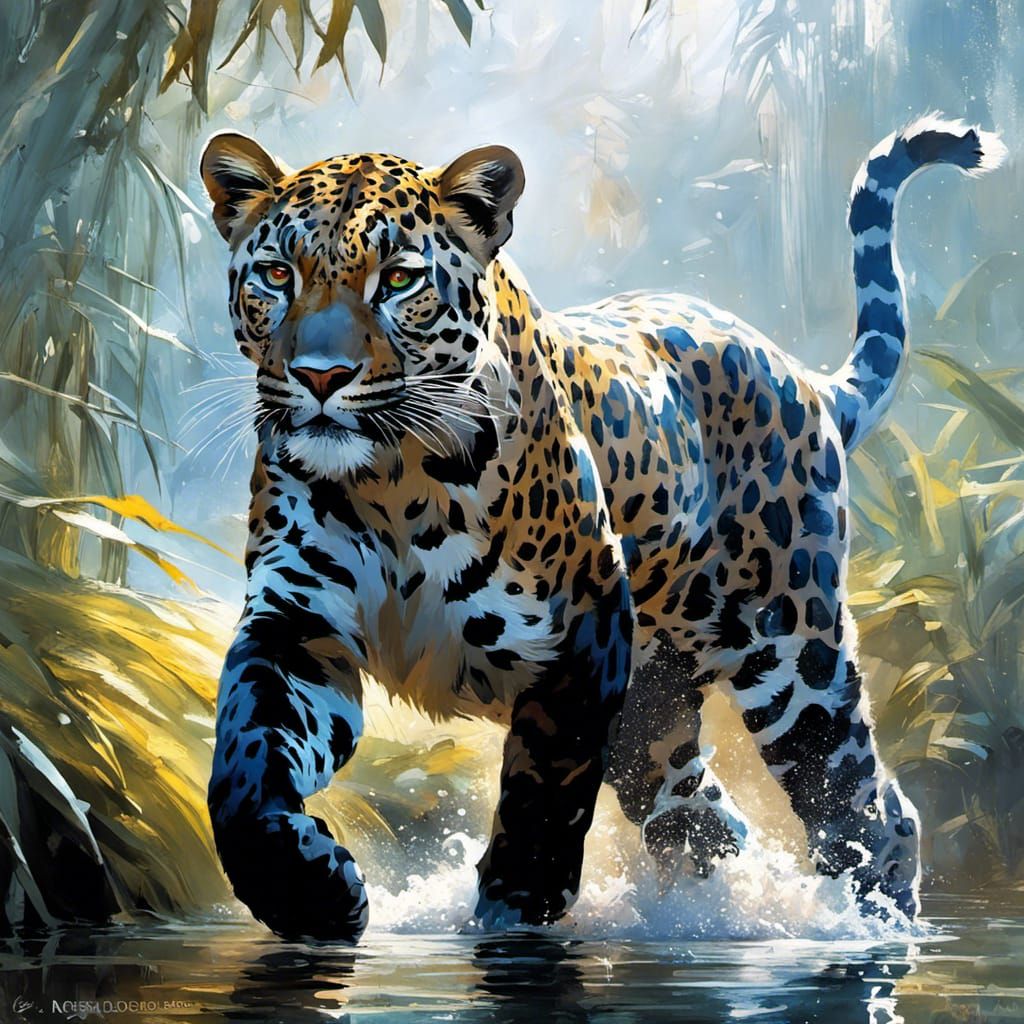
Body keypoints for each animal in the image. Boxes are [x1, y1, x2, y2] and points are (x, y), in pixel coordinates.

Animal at [200, 115, 1004, 941]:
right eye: (275, 275)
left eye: (397, 281)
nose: (320, 376)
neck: (391, 482)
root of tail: (803, 377)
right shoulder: (297, 624)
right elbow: (246, 760)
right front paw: (307, 892)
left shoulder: (580, 632)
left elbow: (544, 792)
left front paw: (514, 914)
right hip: (652, 708)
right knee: (702, 817)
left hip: (790, 649)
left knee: (862, 803)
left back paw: (876, 926)